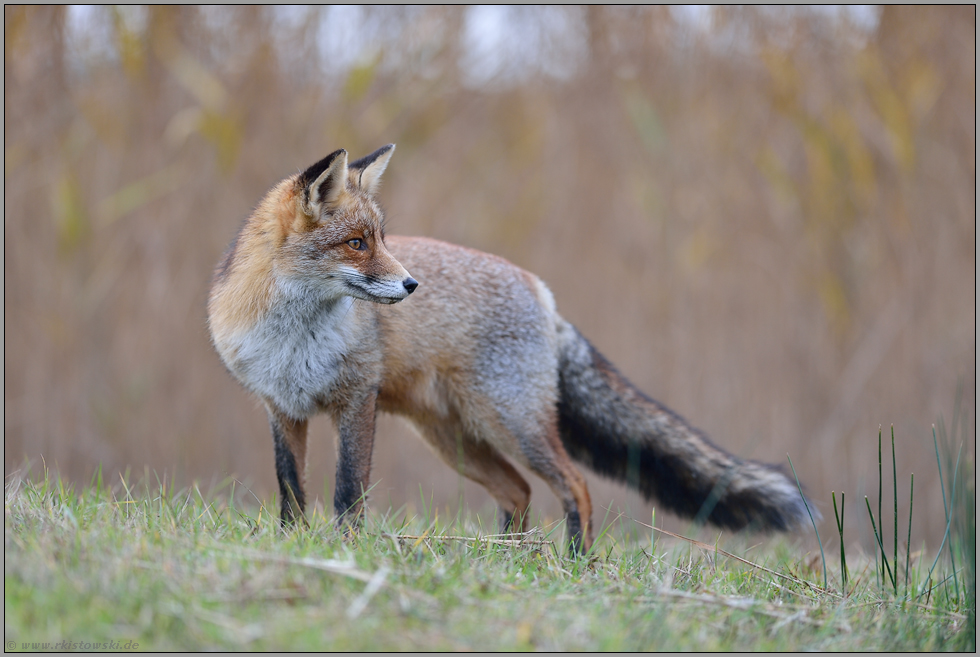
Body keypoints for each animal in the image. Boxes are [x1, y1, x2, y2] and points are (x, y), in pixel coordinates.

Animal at [211, 146, 816, 552]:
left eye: (382, 239)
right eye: (357, 243)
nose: (411, 285)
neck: (293, 338)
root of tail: (541, 290)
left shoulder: (357, 401)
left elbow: (347, 490)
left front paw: (347, 551)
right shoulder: (281, 407)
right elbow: (291, 488)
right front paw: (291, 546)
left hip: (510, 422)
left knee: (574, 486)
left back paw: (576, 564)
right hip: (457, 439)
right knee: (519, 490)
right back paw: (509, 559)